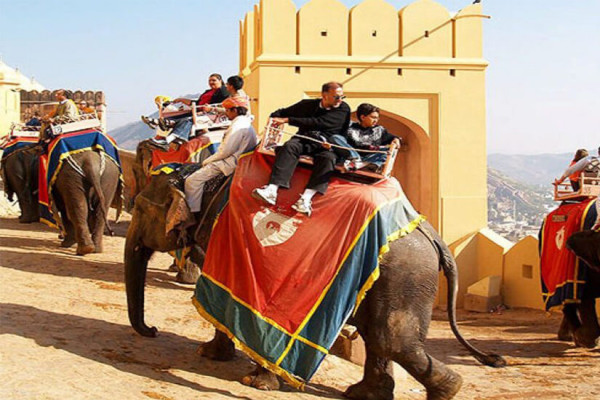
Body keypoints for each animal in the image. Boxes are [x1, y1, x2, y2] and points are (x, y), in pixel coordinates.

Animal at [124, 171, 504, 400]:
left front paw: (253, 381)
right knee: (377, 334)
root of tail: (434, 236)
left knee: (391, 338)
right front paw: (214, 355)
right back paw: (363, 393)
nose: (152, 330)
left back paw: (446, 391)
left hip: (407, 274)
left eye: (140, 209)